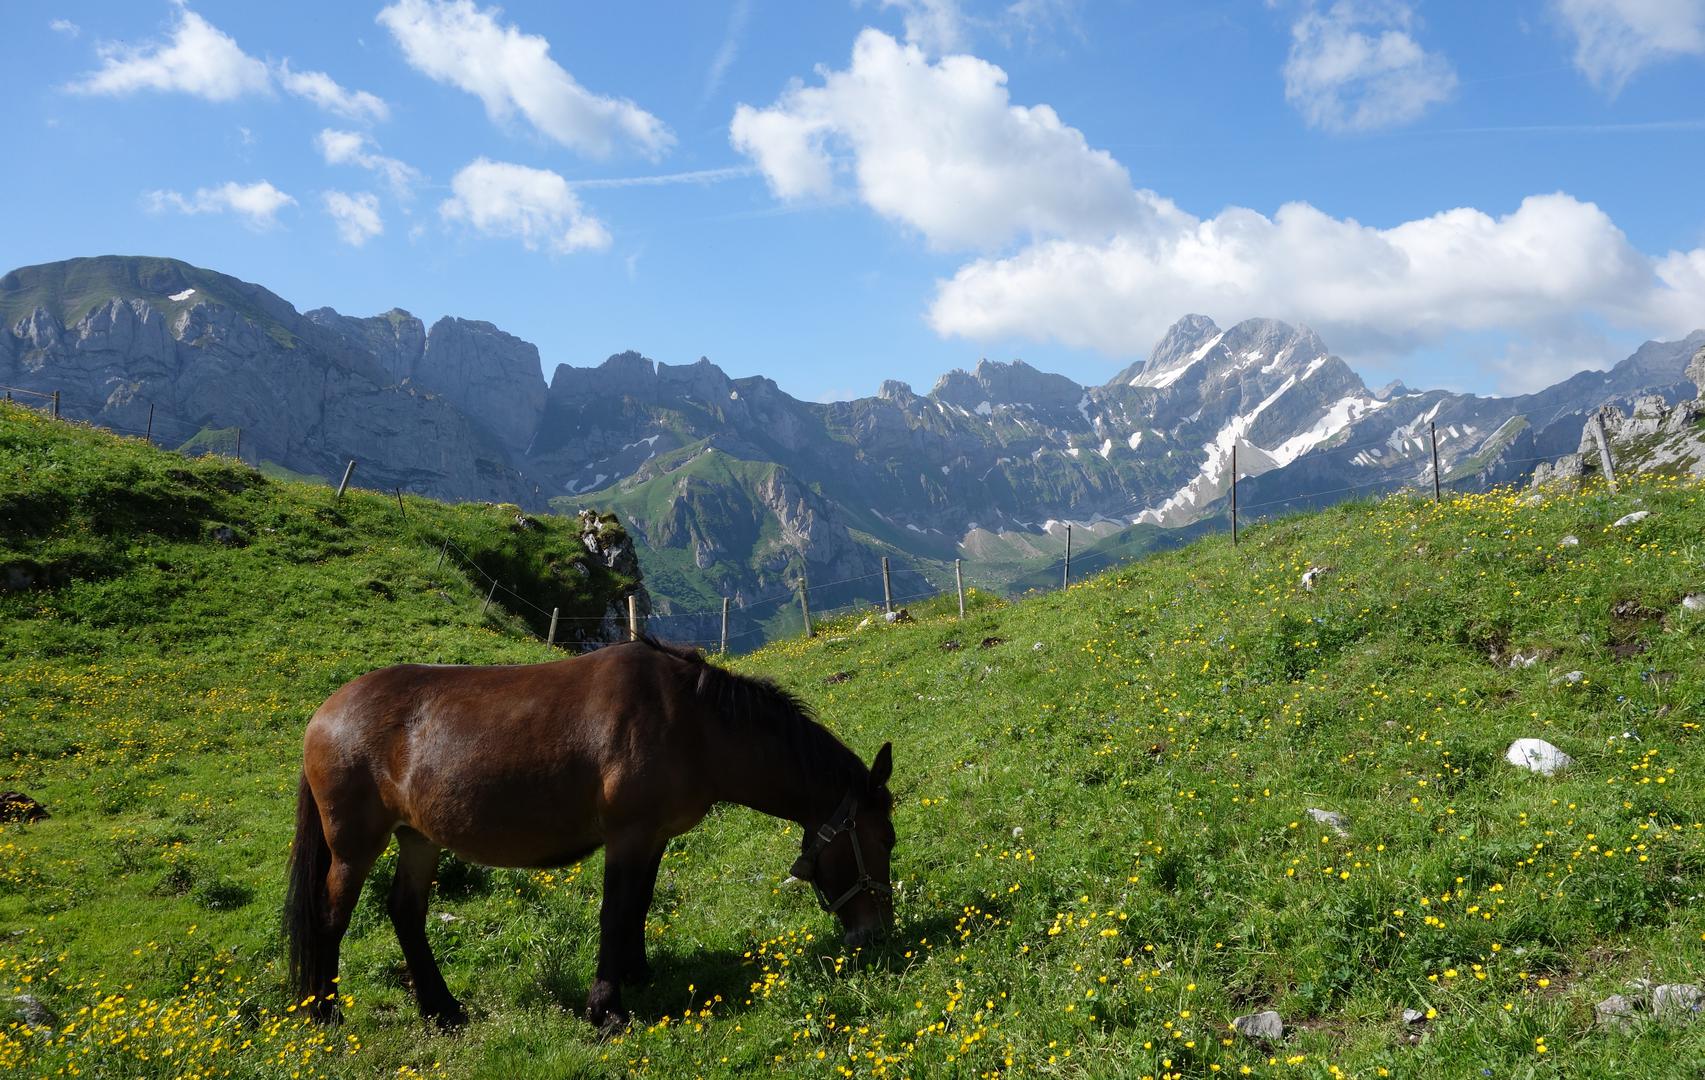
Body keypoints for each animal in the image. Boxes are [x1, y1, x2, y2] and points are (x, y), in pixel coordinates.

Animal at [283, 641, 893, 1030]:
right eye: (883, 841)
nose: (877, 933)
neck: (693, 723)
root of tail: (322, 714)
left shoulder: (655, 837)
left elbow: (639, 905)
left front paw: (637, 972)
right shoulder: (628, 835)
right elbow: (615, 911)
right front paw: (607, 1007)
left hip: (418, 837)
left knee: (405, 913)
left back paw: (441, 1009)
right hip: (354, 846)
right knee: (331, 917)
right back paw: (325, 1013)